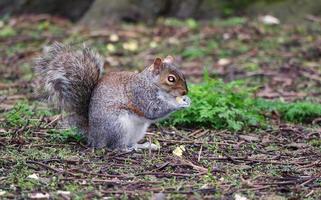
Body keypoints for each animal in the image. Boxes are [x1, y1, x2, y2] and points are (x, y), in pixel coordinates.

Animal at [35, 42, 190, 151]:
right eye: (171, 79)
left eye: (182, 74)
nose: (185, 92)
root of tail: (94, 136)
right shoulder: (140, 94)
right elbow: (153, 110)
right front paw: (178, 104)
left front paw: (186, 100)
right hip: (118, 126)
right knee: (115, 146)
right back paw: (128, 149)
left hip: (138, 130)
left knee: (130, 141)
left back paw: (143, 145)